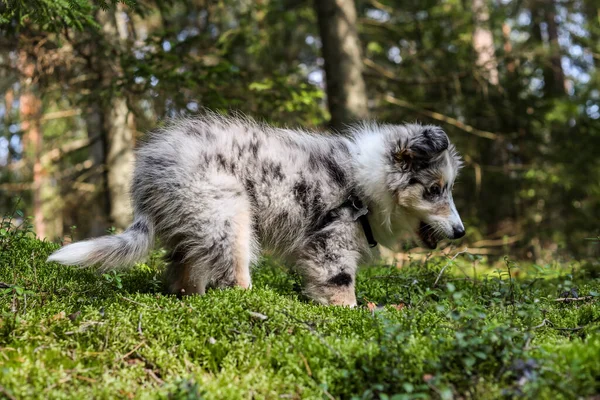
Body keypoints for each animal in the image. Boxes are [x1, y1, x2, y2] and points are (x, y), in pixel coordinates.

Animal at [49, 112, 466, 306]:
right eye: (434, 190)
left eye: (448, 189)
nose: (461, 232)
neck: (365, 181)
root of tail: (148, 175)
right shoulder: (331, 242)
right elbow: (340, 285)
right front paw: (350, 313)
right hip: (228, 214)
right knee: (231, 277)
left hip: (196, 222)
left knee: (184, 271)